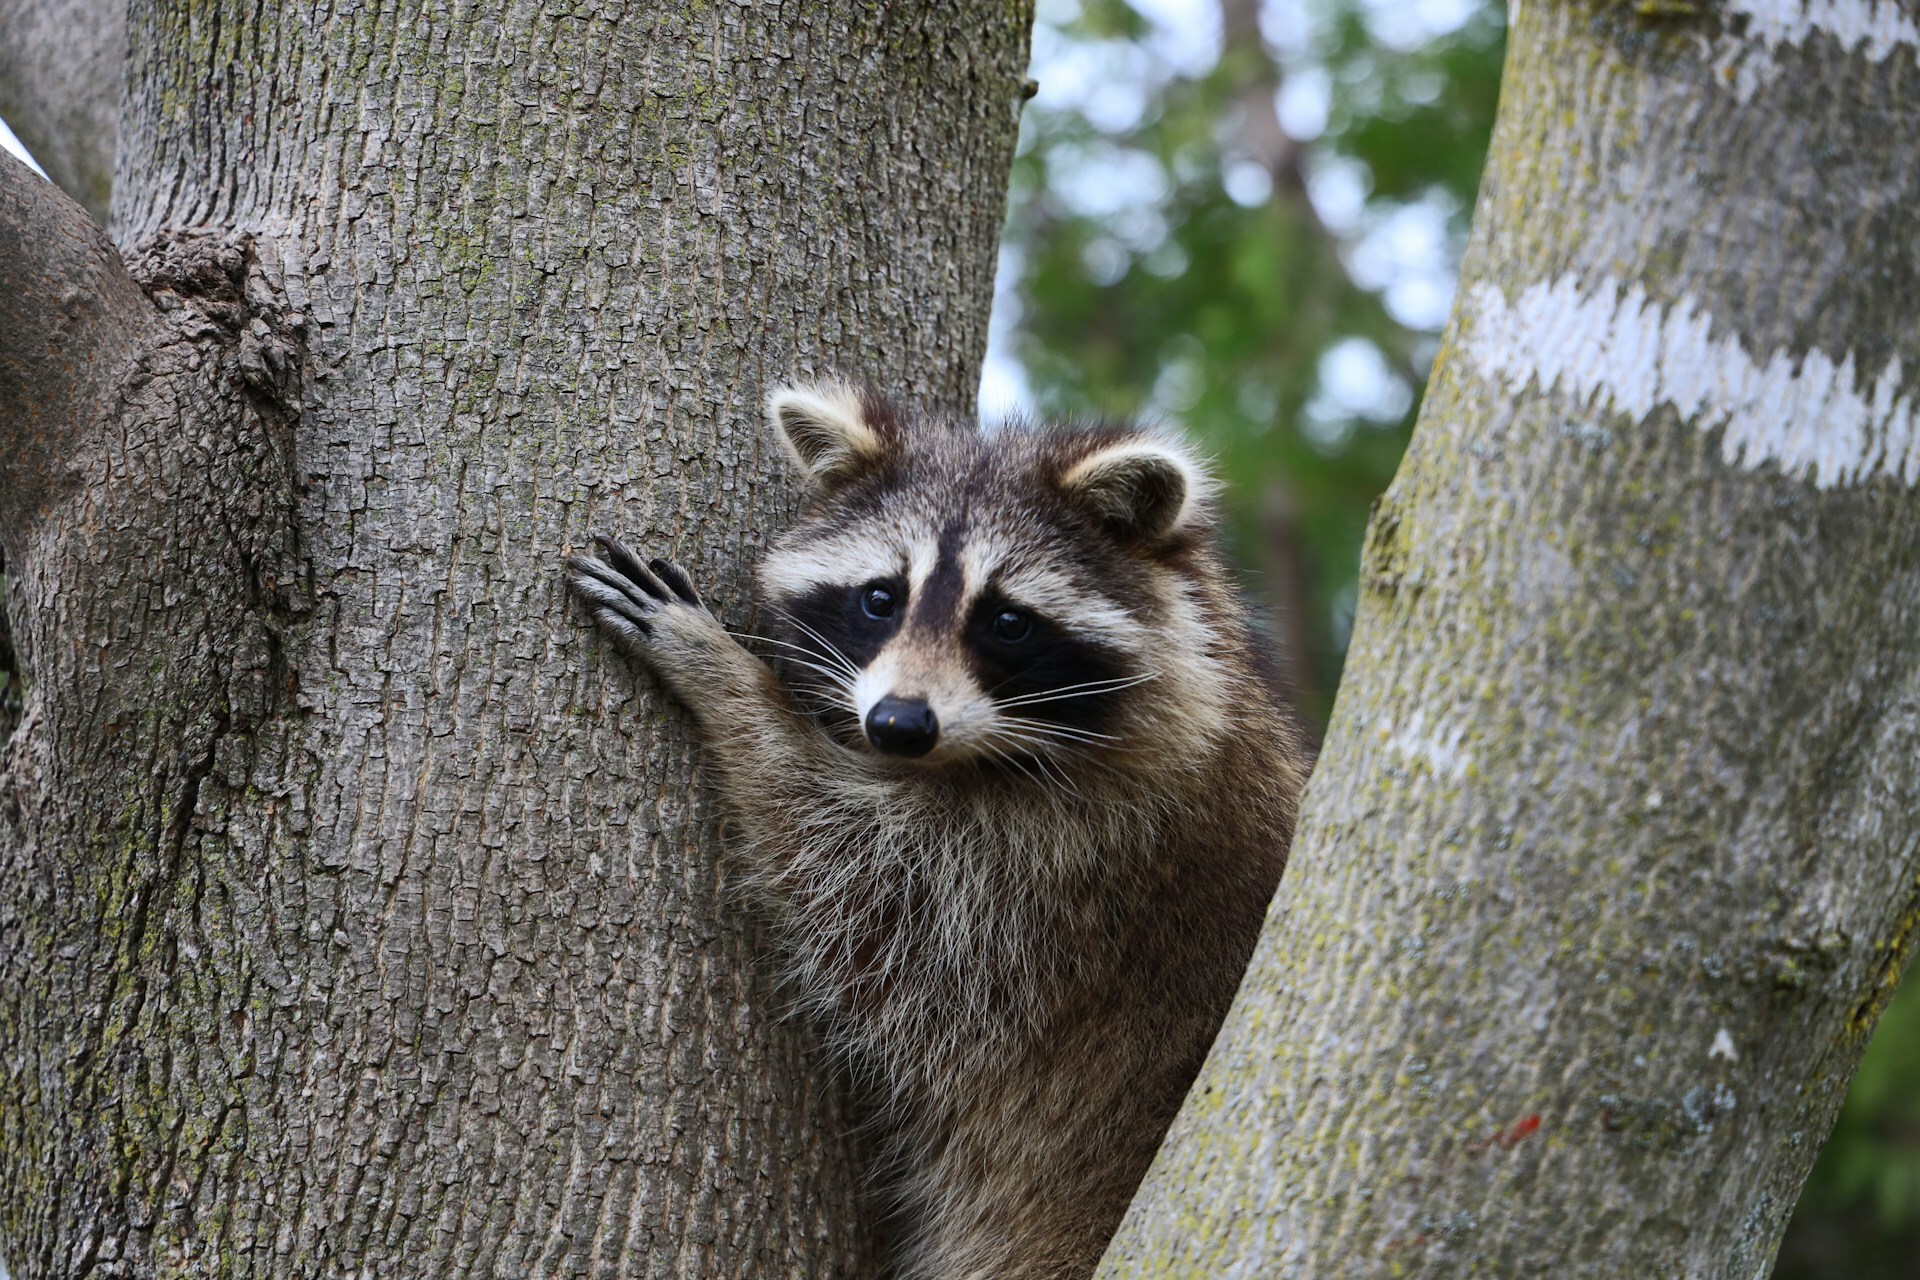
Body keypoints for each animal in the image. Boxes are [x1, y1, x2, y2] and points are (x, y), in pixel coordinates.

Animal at [565, 381, 1308, 1280]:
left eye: (1008, 622)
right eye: (880, 597)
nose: (898, 724)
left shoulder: (1071, 862)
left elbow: (846, 869)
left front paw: (725, 679)